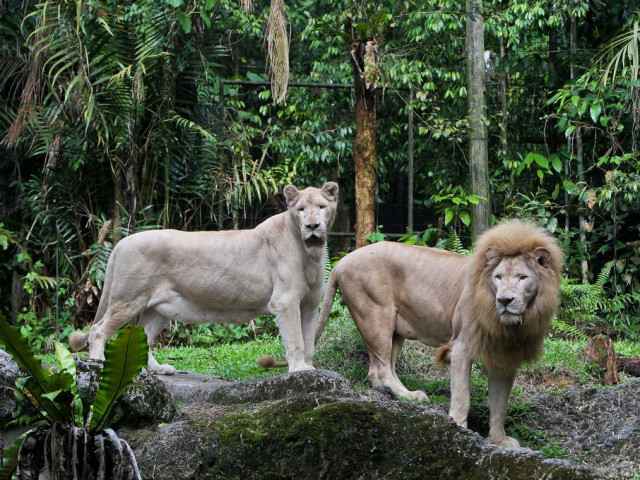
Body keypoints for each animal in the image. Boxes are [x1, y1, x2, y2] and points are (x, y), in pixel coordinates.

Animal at [69, 182, 340, 374]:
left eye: (321, 207)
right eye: (301, 210)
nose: (312, 226)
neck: (310, 252)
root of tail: (121, 242)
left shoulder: (309, 304)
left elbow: (309, 339)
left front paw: (309, 368)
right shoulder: (285, 301)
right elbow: (296, 339)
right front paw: (299, 370)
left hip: (157, 309)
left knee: (142, 338)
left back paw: (159, 369)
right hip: (128, 299)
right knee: (98, 330)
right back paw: (98, 364)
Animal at [314, 219, 560, 448]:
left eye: (522, 277)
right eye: (498, 277)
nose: (504, 300)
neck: (507, 325)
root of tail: (341, 261)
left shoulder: (504, 357)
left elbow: (500, 404)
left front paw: (499, 440)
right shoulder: (462, 348)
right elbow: (462, 396)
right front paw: (459, 429)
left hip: (395, 330)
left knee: (382, 368)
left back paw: (408, 395)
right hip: (376, 315)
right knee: (380, 370)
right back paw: (409, 396)